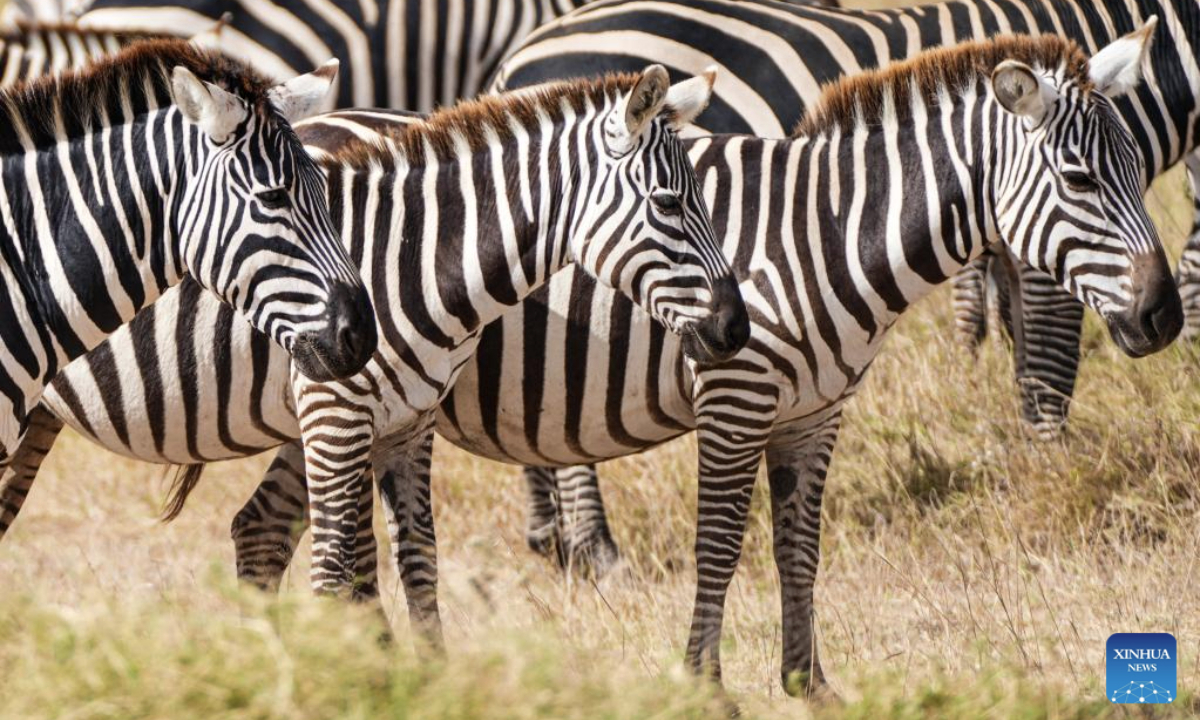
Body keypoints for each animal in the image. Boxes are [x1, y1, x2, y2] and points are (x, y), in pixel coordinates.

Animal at [495, 0, 1200, 440]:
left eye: (1135, 169)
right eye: (1079, 180)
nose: (1161, 320)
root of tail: (517, 59)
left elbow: (1001, 322)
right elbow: (1050, 341)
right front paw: (1049, 453)